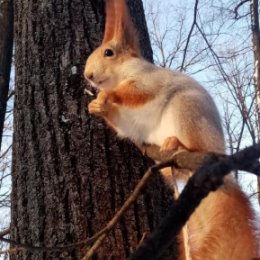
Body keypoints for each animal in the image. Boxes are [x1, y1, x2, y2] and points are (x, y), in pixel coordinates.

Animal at [84, 0, 258, 258]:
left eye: (108, 53)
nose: (88, 75)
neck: (120, 74)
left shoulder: (148, 80)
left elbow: (135, 92)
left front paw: (108, 95)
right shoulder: (127, 122)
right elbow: (120, 123)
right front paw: (96, 106)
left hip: (186, 111)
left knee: (193, 144)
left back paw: (177, 144)